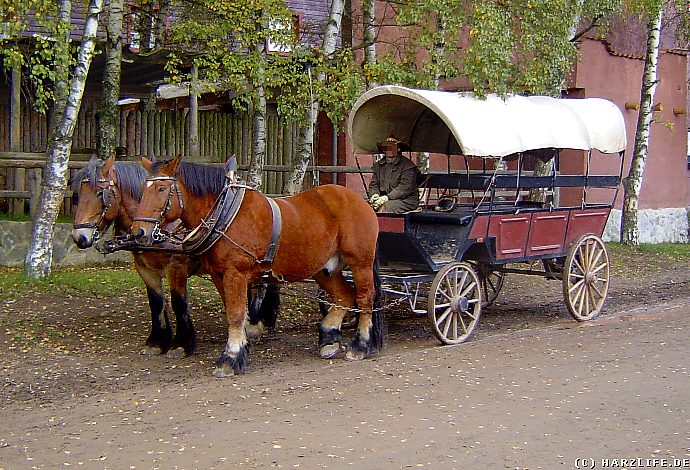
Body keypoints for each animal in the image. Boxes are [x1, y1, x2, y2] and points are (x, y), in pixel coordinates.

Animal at [71, 156, 278, 358]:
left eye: (100, 194)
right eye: (77, 195)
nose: (79, 237)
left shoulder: (176, 268)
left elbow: (179, 303)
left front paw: (181, 344)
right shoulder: (144, 269)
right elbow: (156, 303)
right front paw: (156, 342)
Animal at [132, 156, 384, 376]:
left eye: (161, 189)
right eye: (143, 189)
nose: (138, 232)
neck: (226, 213)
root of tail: (359, 200)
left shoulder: (235, 273)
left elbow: (235, 314)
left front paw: (231, 358)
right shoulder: (218, 275)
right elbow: (235, 312)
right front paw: (242, 347)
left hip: (360, 263)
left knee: (364, 298)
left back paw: (360, 346)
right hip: (322, 268)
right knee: (344, 295)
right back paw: (329, 338)